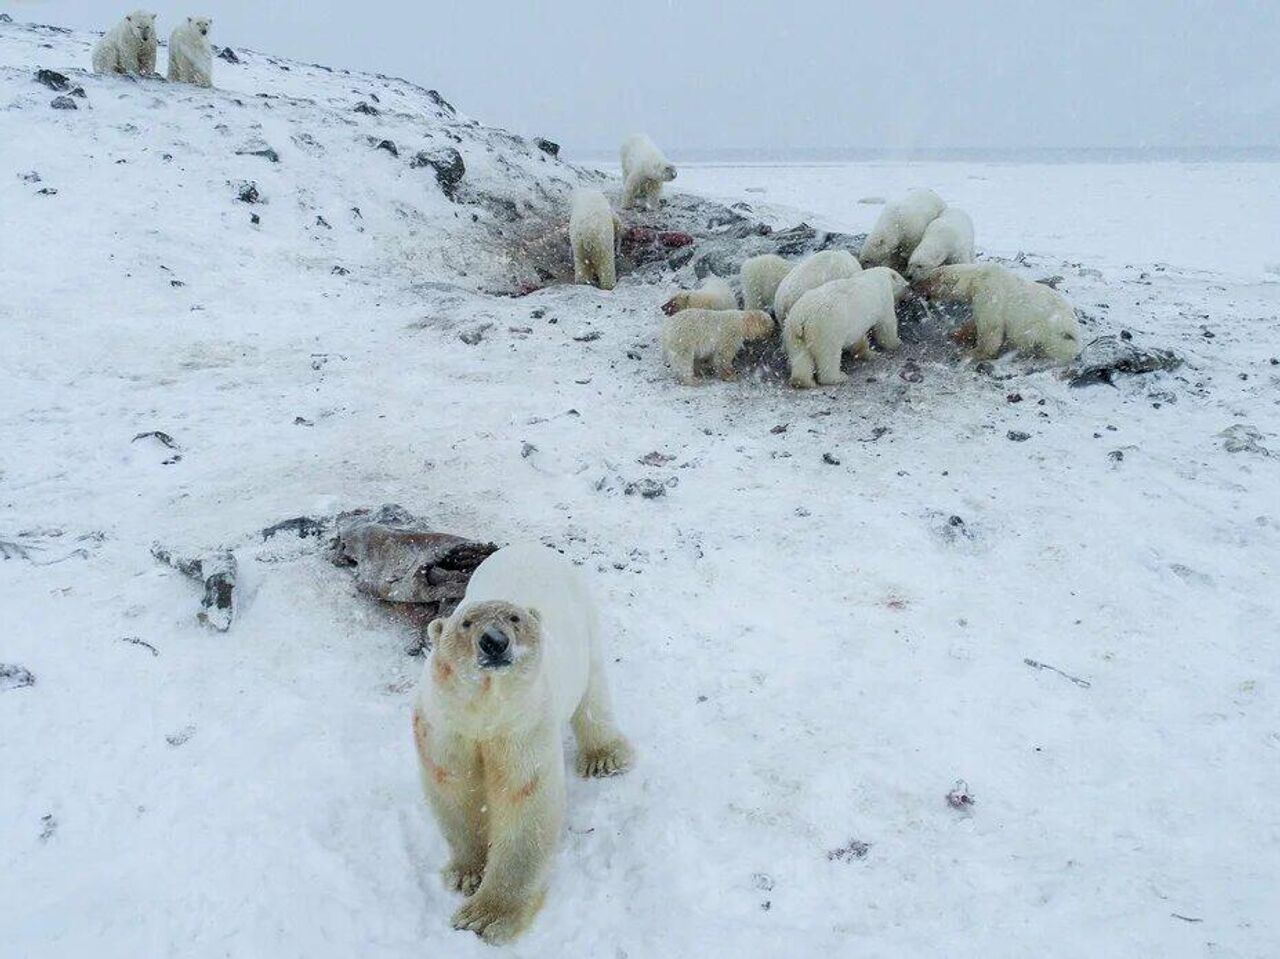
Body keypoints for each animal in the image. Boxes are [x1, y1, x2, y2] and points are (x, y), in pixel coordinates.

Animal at [414, 545, 634, 942]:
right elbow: (455, 789)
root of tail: (529, 547)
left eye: (514, 618)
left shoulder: (522, 727)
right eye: (466, 623)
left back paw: (604, 757)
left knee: (593, 691)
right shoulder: (445, 726)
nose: (494, 641)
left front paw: (485, 917)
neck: (485, 710)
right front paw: (467, 874)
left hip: (584, 620)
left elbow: (523, 802)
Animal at [778, 263, 911, 386]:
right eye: (904, 285)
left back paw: (803, 382)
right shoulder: (884, 299)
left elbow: (858, 337)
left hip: (792, 332)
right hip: (826, 327)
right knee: (829, 355)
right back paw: (838, 377)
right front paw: (896, 342)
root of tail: (803, 317)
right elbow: (886, 325)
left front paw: (866, 352)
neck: (878, 276)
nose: (909, 288)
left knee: (800, 356)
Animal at [916, 262, 1085, 363]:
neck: (976, 277)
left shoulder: (989, 292)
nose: (914, 284)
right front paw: (957, 334)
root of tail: (1076, 336)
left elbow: (990, 327)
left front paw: (973, 352)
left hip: (1051, 334)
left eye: (927, 280)